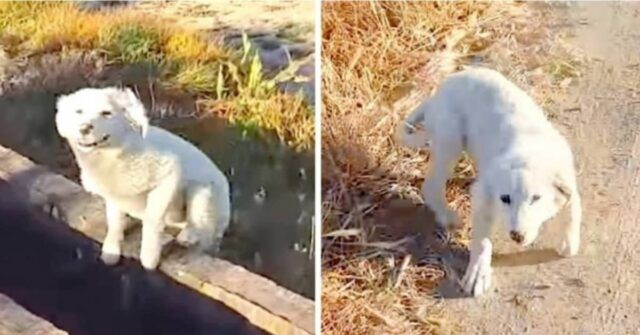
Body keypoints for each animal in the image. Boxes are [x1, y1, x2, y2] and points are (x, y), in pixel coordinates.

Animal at [55, 86, 230, 270]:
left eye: (106, 113)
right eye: (78, 111)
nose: (84, 128)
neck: (116, 153)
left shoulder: (169, 175)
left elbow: (152, 220)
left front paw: (149, 258)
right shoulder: (113, 196)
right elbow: (114, 221)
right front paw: (111, 249)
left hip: (203, 191)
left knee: (202, 226)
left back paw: (188, 235)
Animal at [398, 67, 584, 296]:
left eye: (536, 199)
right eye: (505, 199)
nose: (517, 236)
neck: (529, 156)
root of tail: (438, 93)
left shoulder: (567, 179)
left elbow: (573, 210)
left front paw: (569, 241)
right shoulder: (484, 195)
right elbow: (482, 241)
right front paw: (478, 272)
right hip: (450, 140)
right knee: (431, 186)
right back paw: (448, 216)